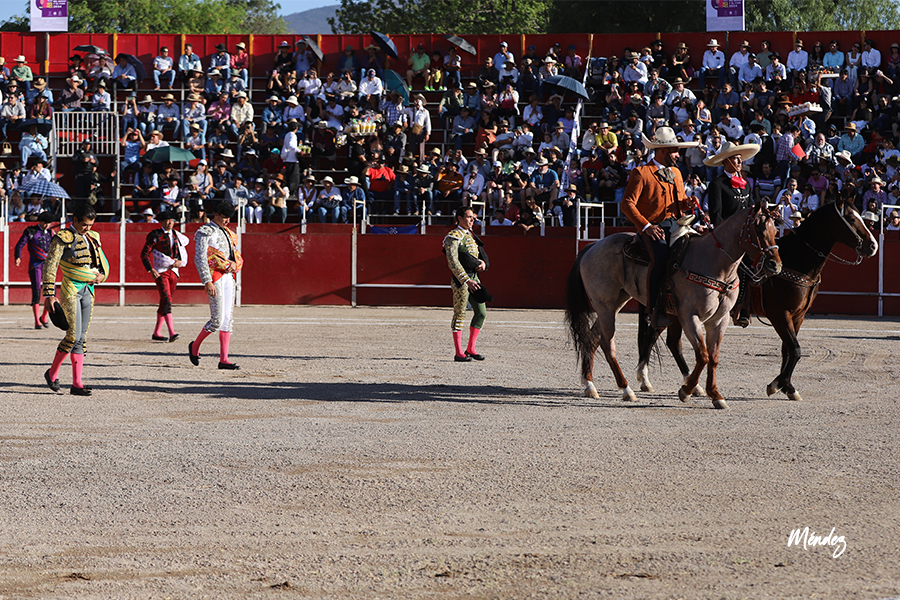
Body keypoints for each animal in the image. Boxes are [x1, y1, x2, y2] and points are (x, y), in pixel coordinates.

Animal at [565, 201, 782, 409]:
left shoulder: (719, 320)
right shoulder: (689, 316)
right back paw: (626, 389)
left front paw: (715, 395)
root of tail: (592, 247)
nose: (775, 265)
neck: (715, 263)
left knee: (593, 338)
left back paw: (589, 385)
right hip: (606, 306)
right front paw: (686, 391)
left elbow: (713, 357)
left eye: (776, 231)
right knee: (607, 344)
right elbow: (702, 355)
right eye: (759, 230)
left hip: (617, 302)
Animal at [637, 197, 878, 402]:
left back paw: (688, 385)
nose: (873, 245)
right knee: (651, 337)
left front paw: (788, 387)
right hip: (670, 311)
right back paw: (645, 380)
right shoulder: (780, 314)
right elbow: (796, 350)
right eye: (851, 218)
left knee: (671, 342)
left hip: (675, 314)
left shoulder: (798, 316)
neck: (797, 261)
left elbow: (788, 350)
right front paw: (777, 385)